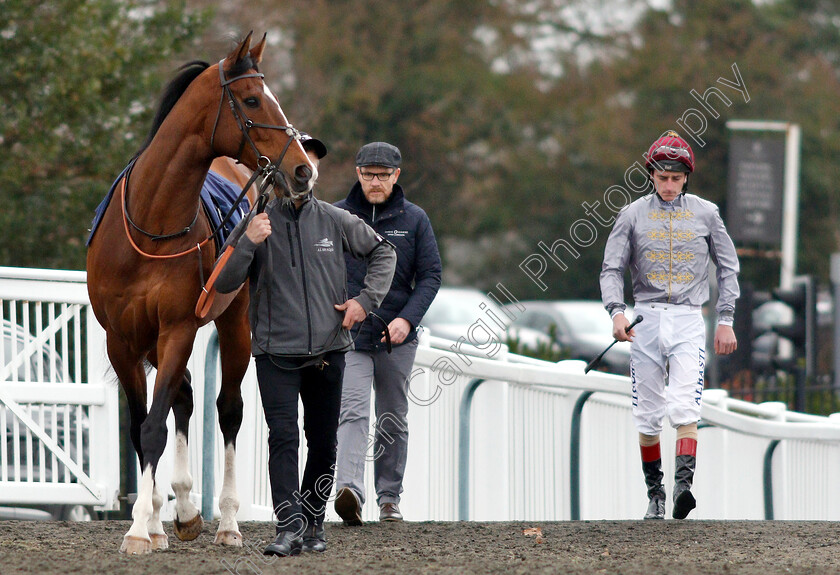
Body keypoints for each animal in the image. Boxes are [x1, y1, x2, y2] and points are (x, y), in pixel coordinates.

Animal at [86, 33, 316, 556]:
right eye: (252, 100)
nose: (302, 170)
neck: (152, 226)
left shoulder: (178, 327)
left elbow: (154, 425)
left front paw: (136, 528)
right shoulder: (121, 340)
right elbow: (143, 425)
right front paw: (148, 523)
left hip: (235, 324)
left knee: (227, 410)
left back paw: (224, 521)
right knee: (185, 397)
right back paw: (175, 513)